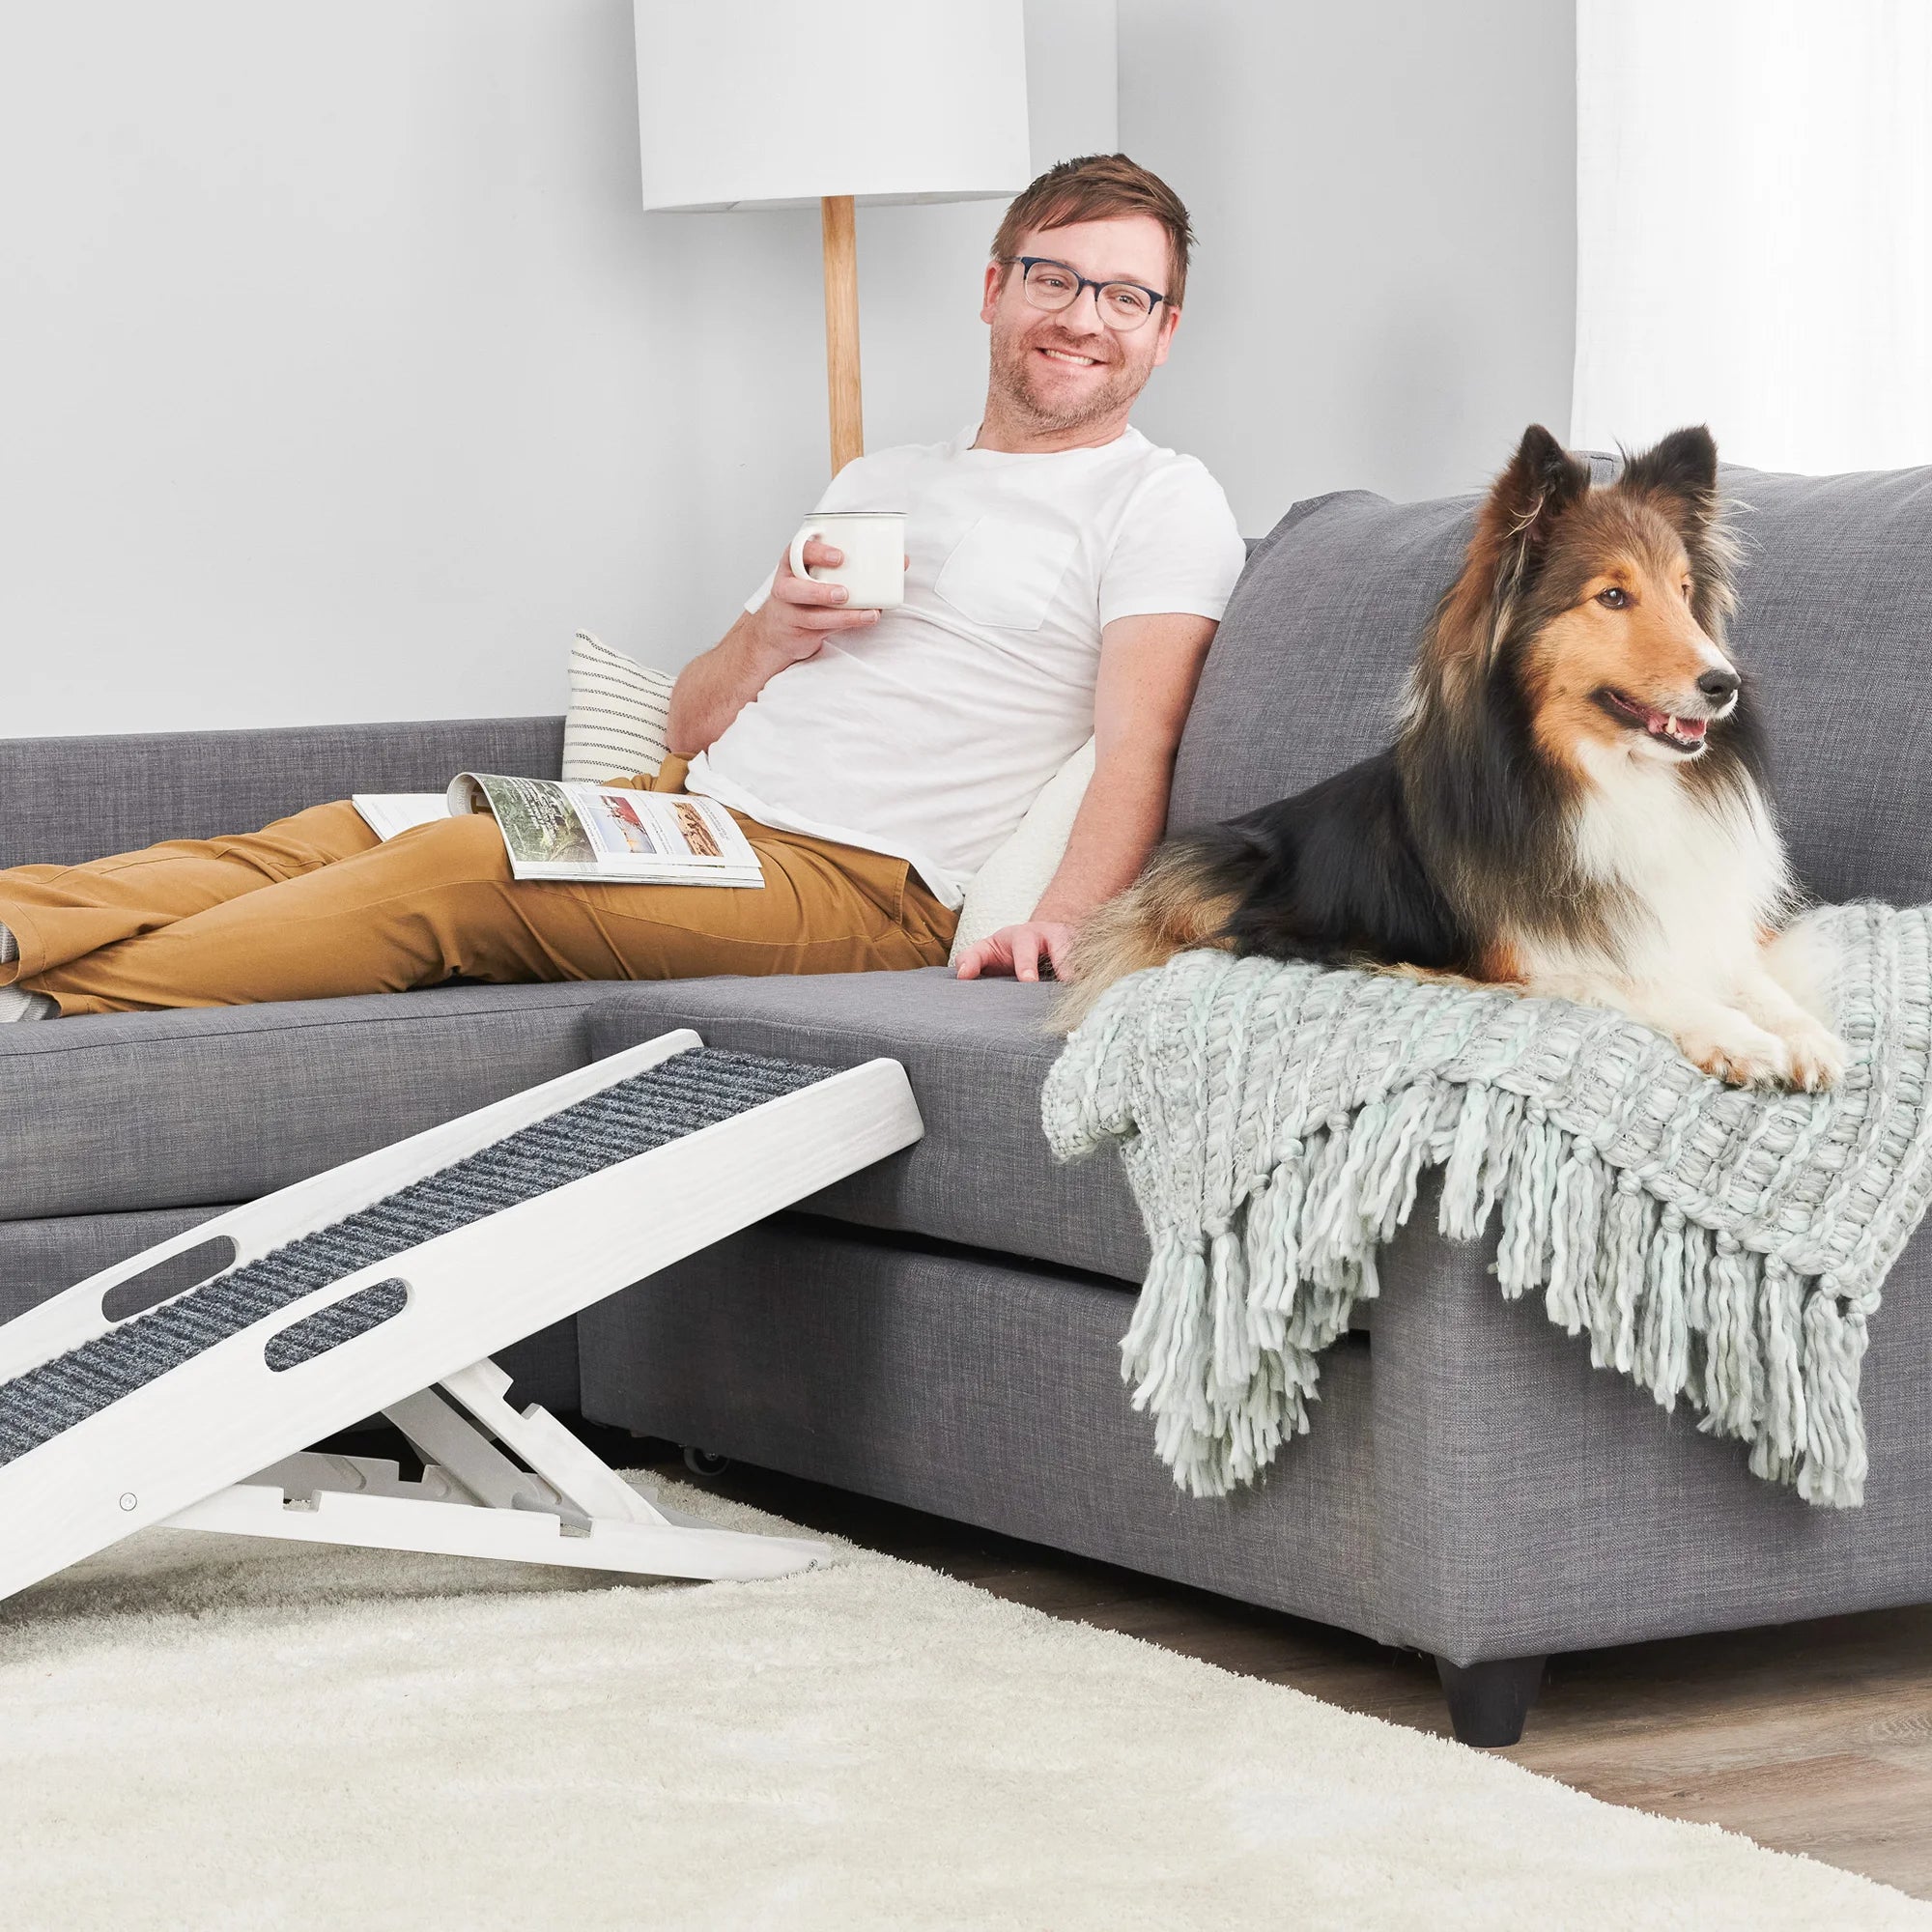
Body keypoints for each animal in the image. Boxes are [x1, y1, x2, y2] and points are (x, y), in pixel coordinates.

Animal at [1066, 421, 1847, 1090]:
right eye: (1613, 596)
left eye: (1684, 593)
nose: (1724, 684)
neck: (1605, 776)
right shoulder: (1528, 958)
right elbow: (1644, 981)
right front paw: (1741, 1040)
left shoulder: (1693, 915)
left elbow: (1747, 974)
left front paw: (1804, 1035)